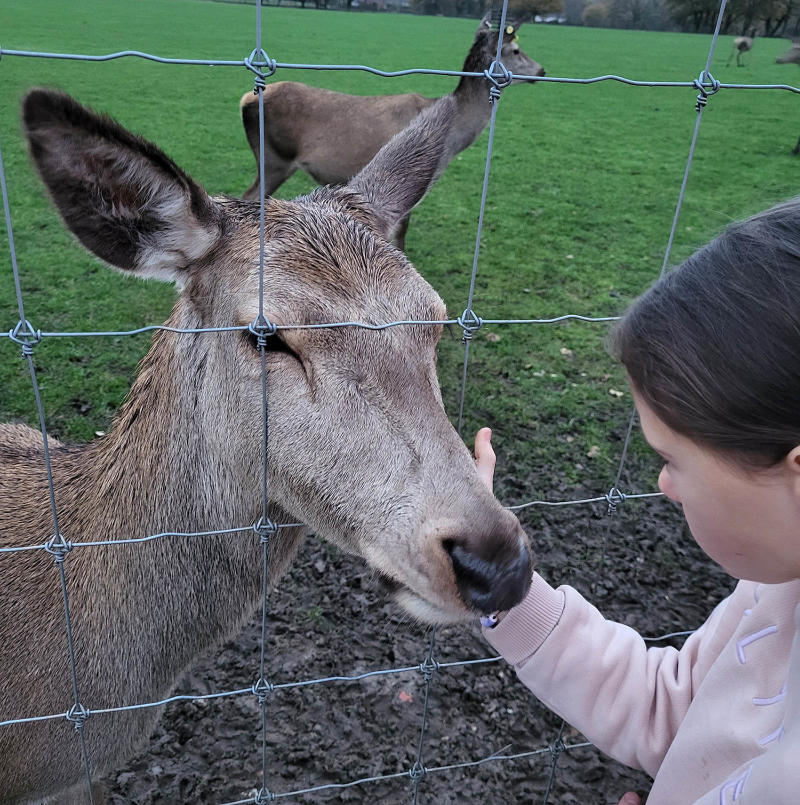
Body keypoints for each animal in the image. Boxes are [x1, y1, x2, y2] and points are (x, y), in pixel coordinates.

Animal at [238, 14, 544, 248]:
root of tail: (246, 99)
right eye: (516, 51)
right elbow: (400, 234)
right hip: (276, 158)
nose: (541, 70)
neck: (455, 139)